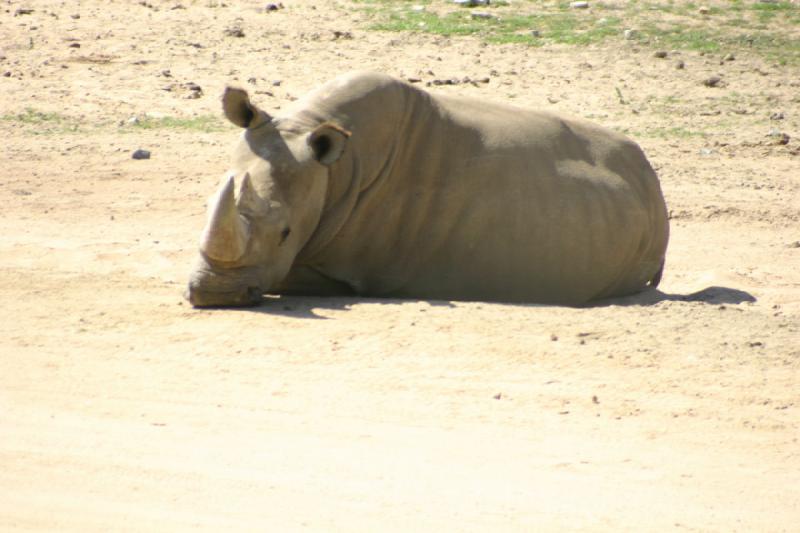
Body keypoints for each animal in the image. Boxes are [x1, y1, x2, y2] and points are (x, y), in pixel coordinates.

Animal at [188, 69, 668, 308]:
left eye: (286, 233)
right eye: (207, 205)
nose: (216, 294)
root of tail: (652, 181)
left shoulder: (346, 269)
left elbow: (288, 273)